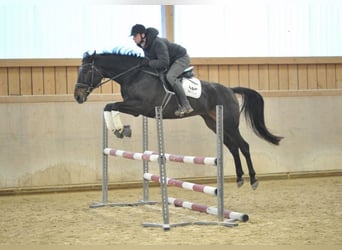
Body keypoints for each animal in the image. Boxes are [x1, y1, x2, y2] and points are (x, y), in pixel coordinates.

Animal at [75, 48, 284, 189]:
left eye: (86, 71)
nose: (77, 97)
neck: (133, 75)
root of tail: (229, 90)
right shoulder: (135, 107)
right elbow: (108, 106)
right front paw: (119, 129)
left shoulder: (139, 107)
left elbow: (112, 106)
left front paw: (120, 129)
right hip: (215, 124)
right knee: (233, 147)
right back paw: (240, 178)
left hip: (230, 124)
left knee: (244, 146)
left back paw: (253, 179)